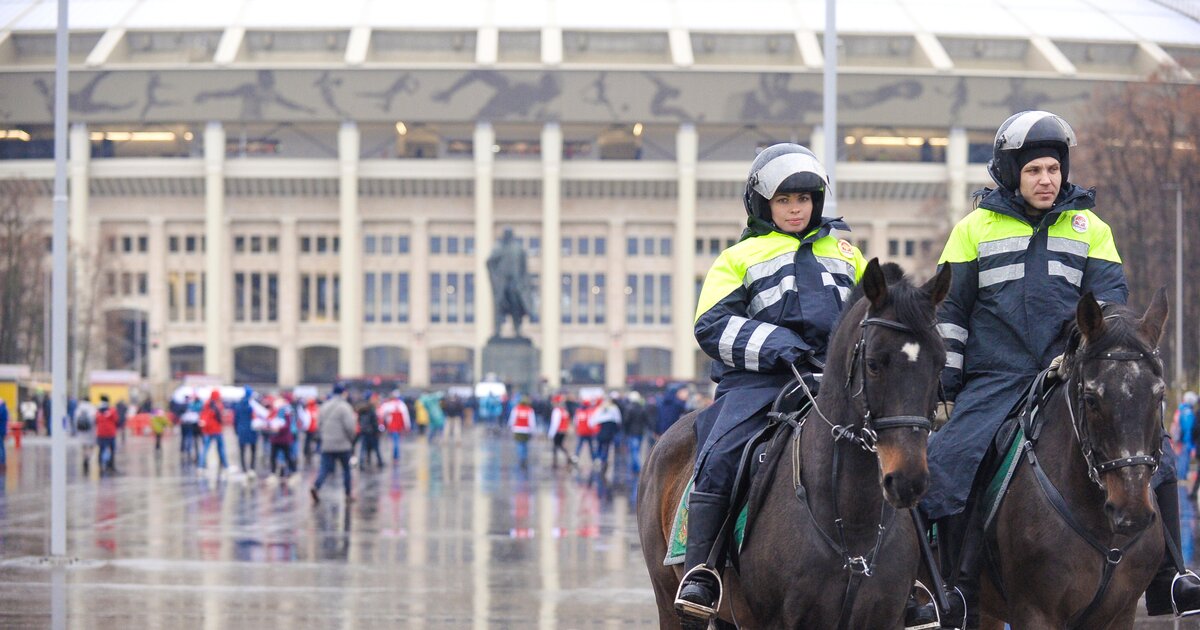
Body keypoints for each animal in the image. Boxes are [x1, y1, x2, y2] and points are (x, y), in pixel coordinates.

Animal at [643, 258, 950, 624]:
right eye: (874, 363)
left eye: (940, 363)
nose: (908, 480)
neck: (851, 525)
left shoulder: (883, 617)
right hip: (667, 601)